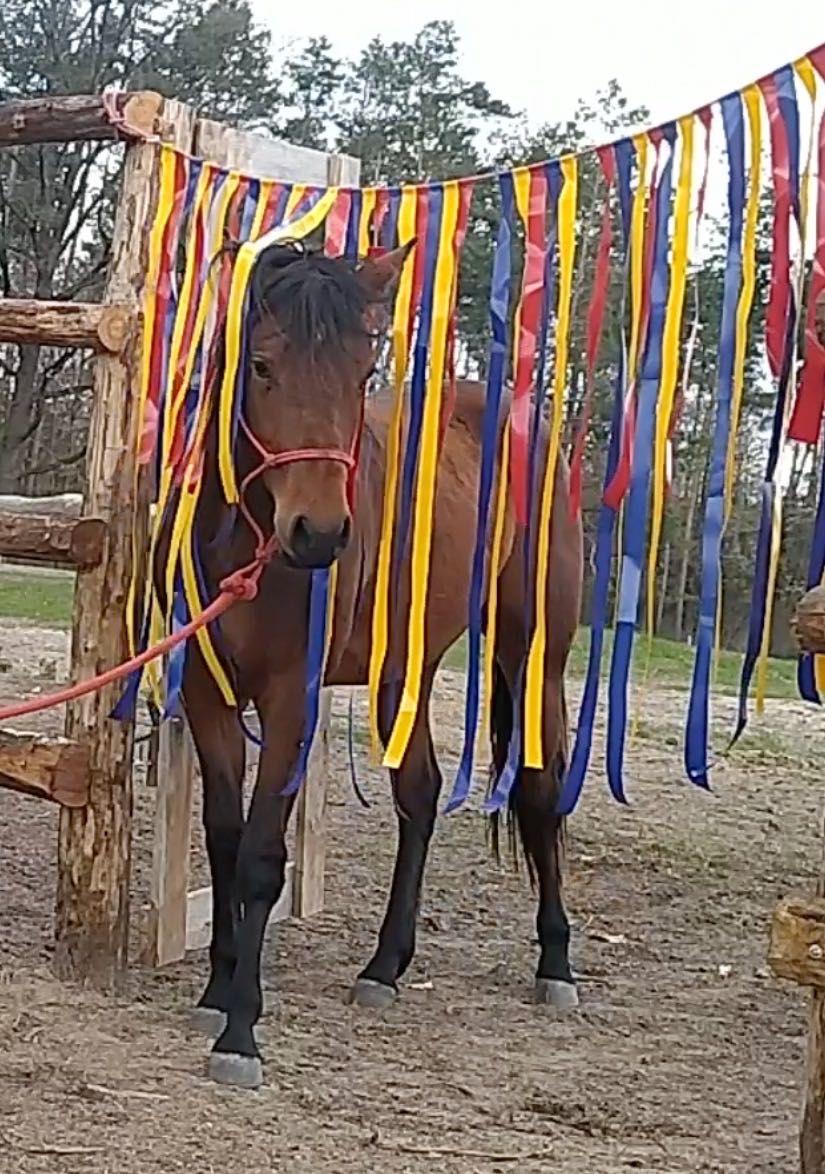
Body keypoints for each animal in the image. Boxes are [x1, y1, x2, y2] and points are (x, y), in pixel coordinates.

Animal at [158, 240, 584, 1089]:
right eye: (261, 365)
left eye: (362, 373)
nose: (319, 533)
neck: (245, 544)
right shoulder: (208, 695)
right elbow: (223, 839)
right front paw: (218, 990)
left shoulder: (290, 703)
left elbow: (260, 857)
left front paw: (242, 1031)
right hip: (402, 672)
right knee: (418, 797)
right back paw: (384, 967)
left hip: (535, 657)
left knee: (539, 792)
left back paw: (554, 963)